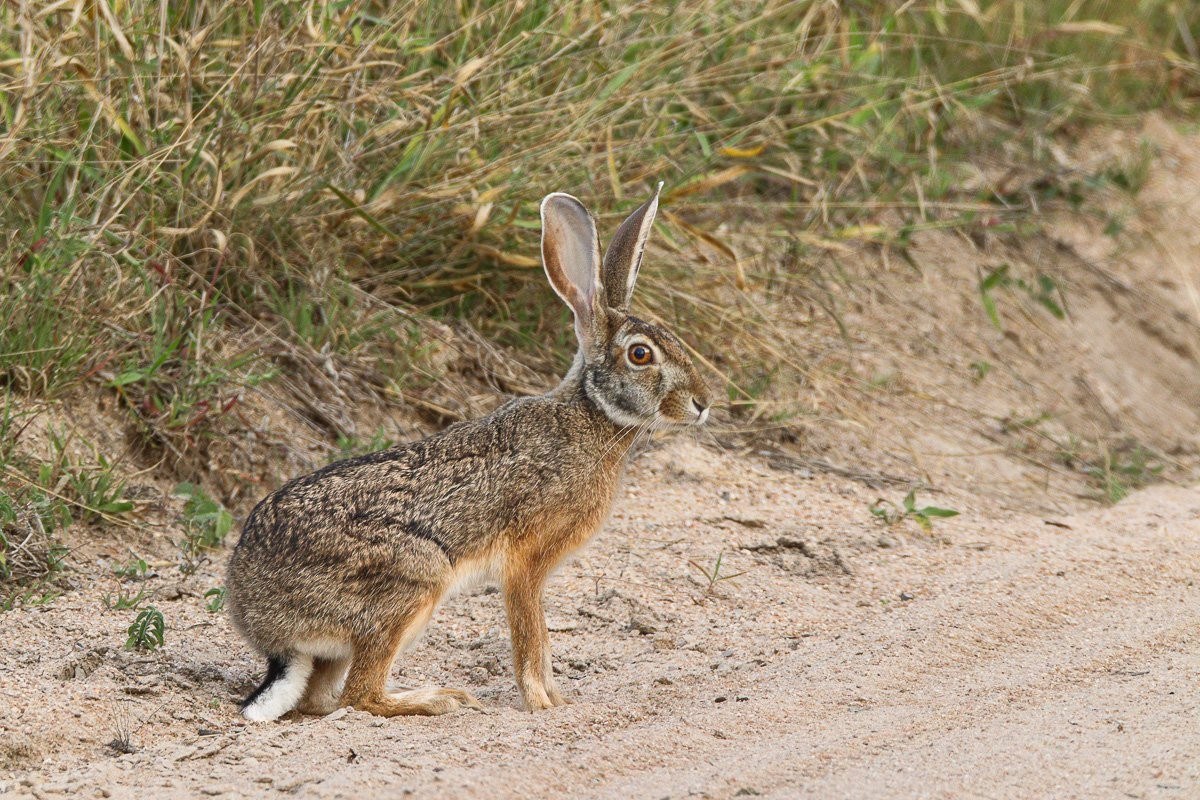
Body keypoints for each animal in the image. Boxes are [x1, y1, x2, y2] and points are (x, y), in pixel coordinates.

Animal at [226, 184, 712, 721]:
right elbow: (532, 638)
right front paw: (543, 704)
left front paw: (559, 699)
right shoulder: (524, 563)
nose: (703, 403)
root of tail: (269, 632)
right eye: (641, 354)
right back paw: (440, 699)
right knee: (361, 695)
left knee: (322, 700)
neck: (591, 415)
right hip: (415, 578)